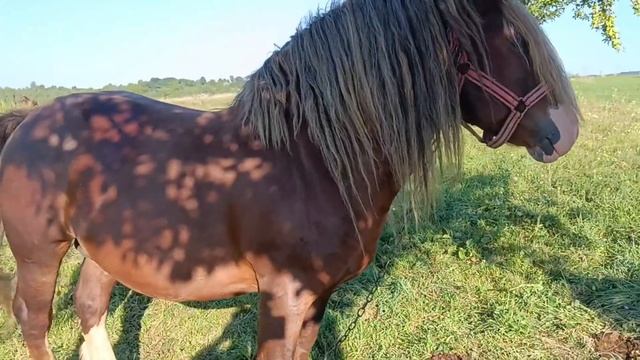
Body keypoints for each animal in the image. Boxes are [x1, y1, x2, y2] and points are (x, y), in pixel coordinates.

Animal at [0, 0, 580, 358]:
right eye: (516, 42)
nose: (566, 132)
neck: (313, 160)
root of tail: (29, 120)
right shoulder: (283, 297)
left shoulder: (318, 298)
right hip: (40, 255)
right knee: (34, 320)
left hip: (104, 251)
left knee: (90, 308)